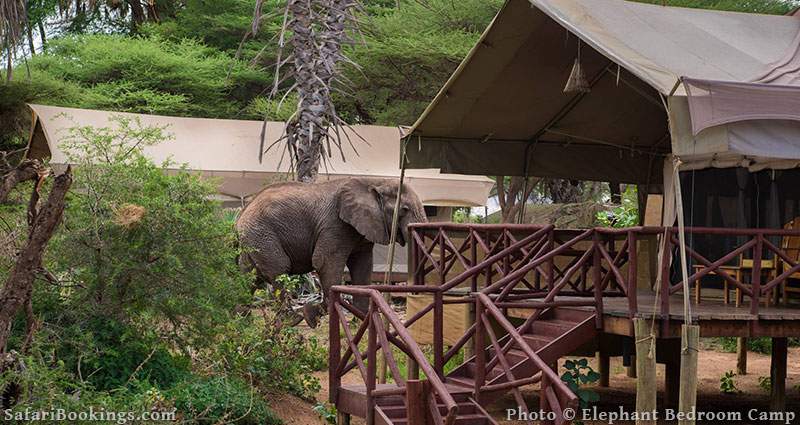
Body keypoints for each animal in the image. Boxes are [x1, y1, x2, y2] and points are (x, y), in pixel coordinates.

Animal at [236, 177, 428, 326]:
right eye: (404, 210)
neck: (374, 182)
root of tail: (240, 215)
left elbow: (363, 267)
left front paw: (361, 322)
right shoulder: (335, 224)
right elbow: (324, 262)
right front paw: (311, 315)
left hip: (253, 240)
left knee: (250, 277)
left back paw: (242, 321)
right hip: (262, 235)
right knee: (278, 270)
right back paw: (293, 320)